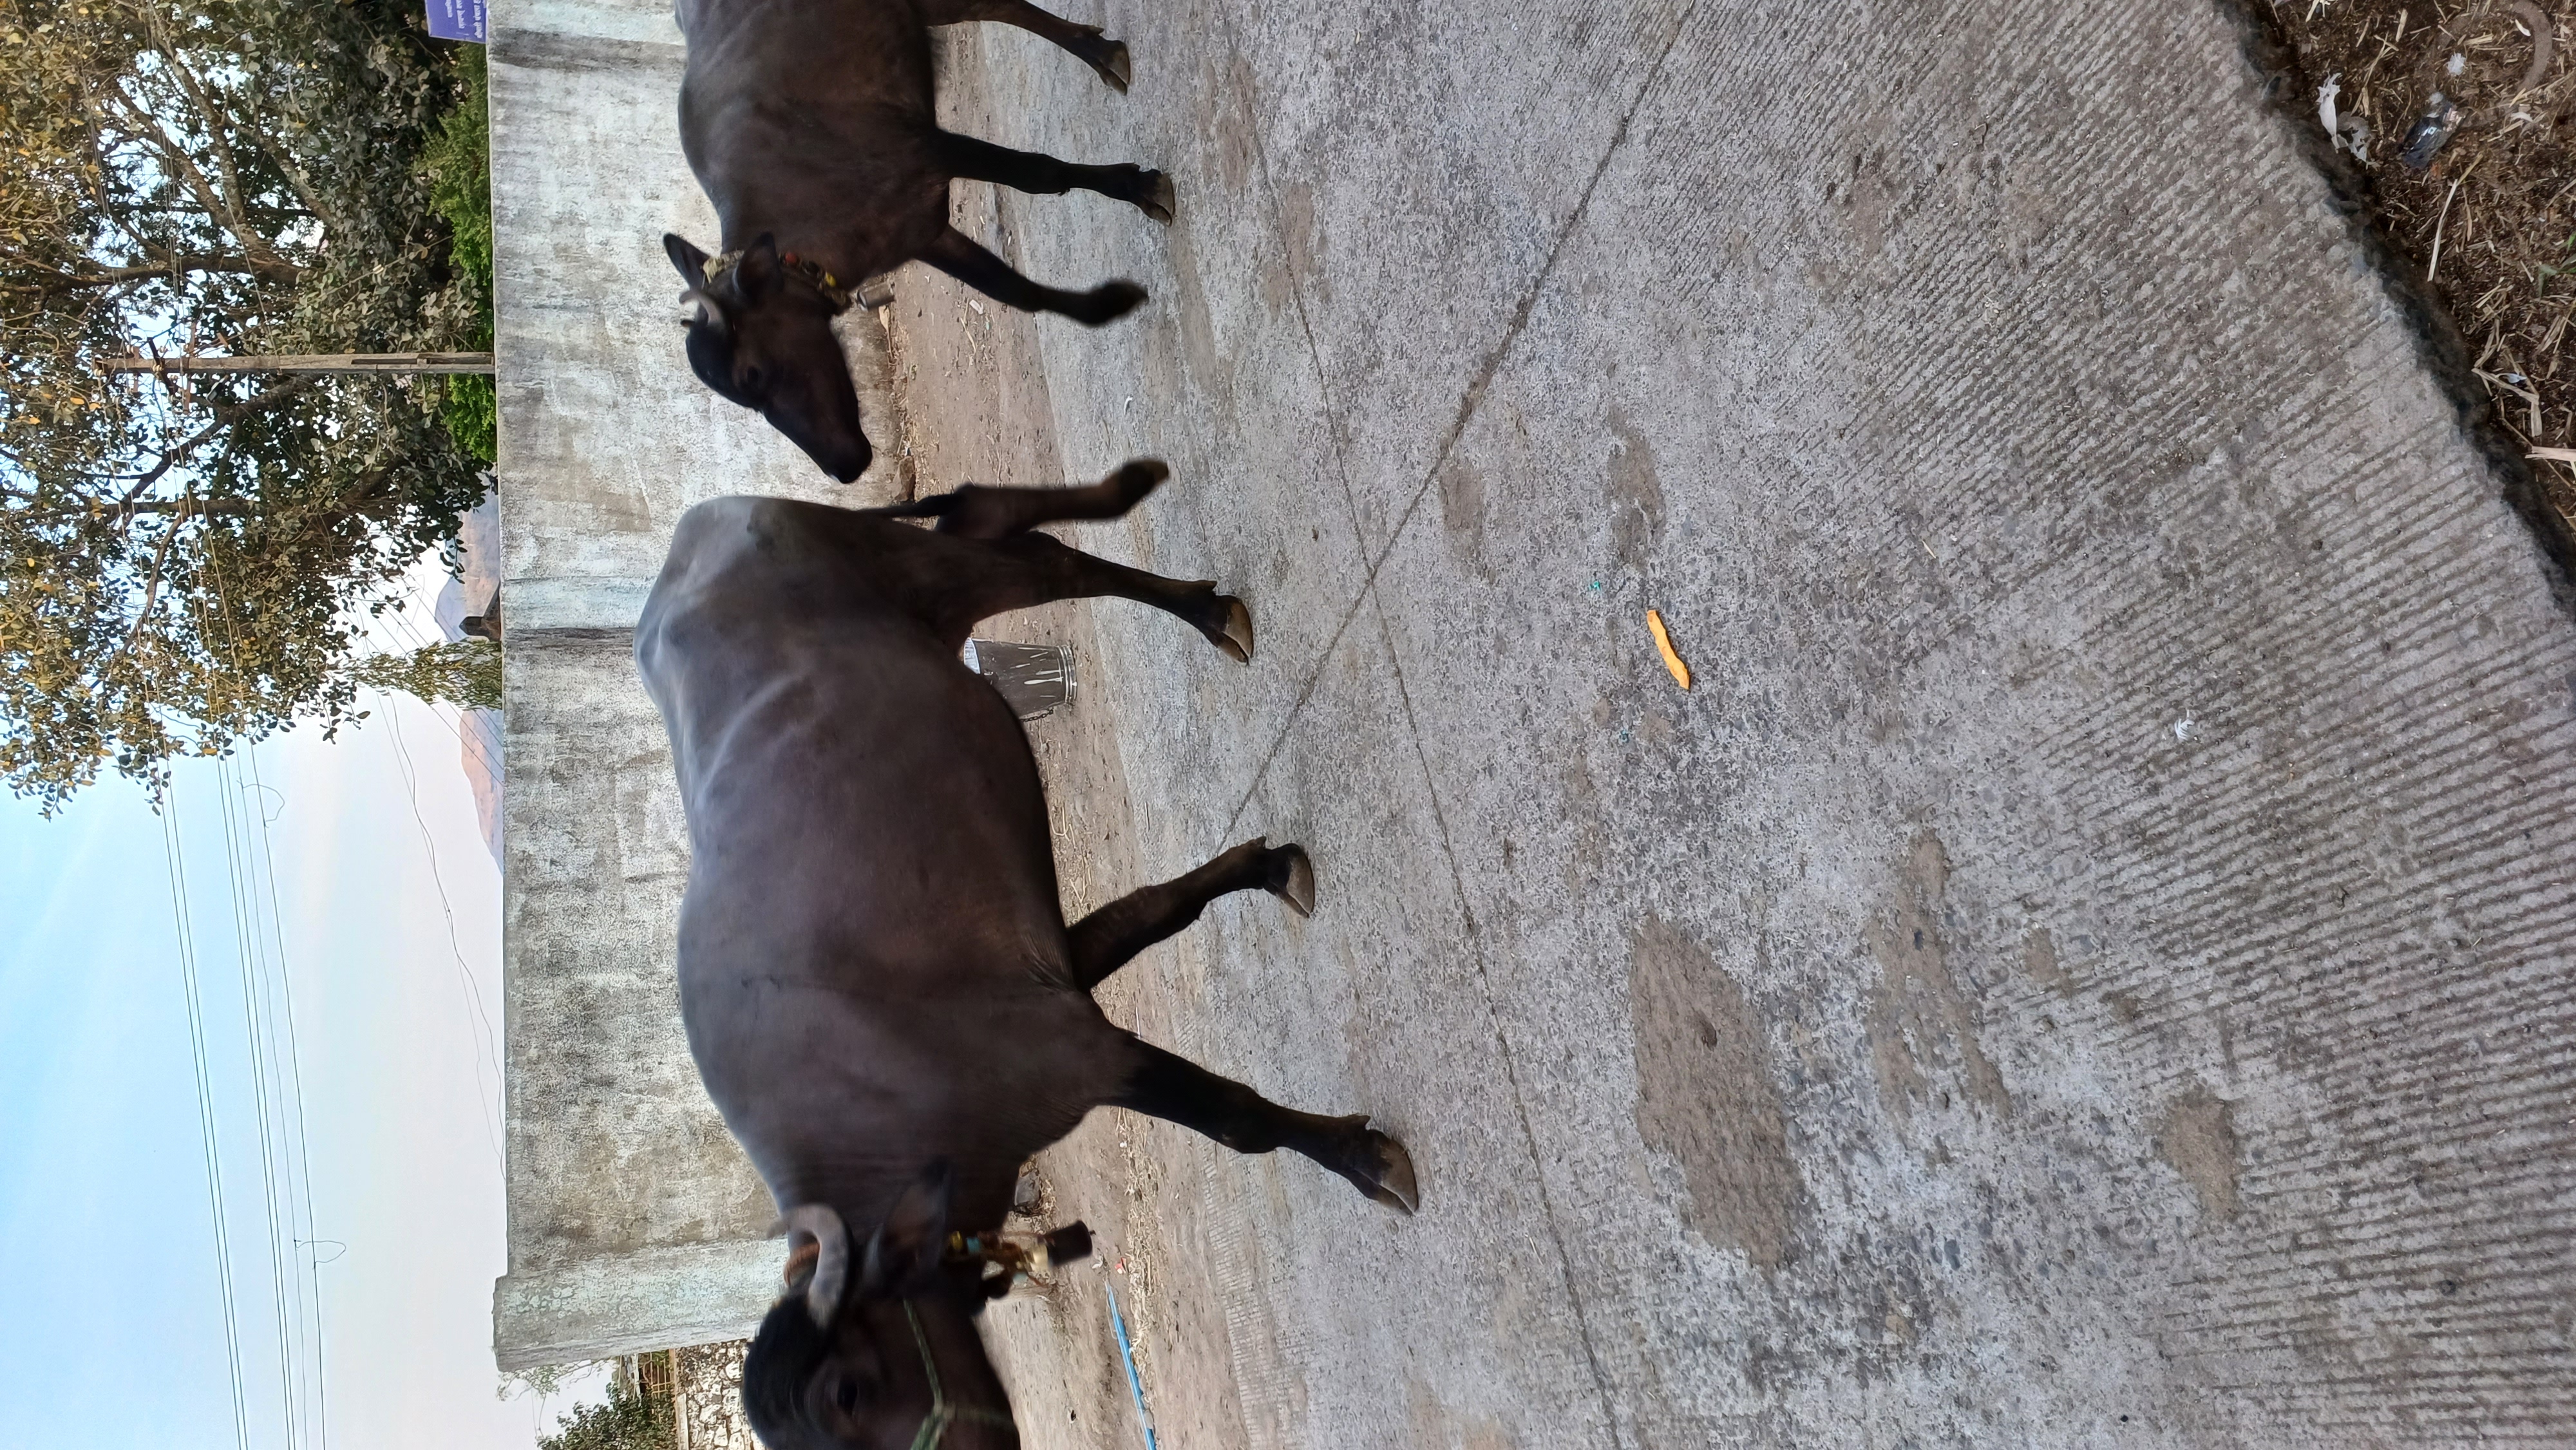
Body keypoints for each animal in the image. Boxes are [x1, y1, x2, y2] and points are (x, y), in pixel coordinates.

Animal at [635, 465, 1417, 1448]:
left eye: (846, 1392)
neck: (878, 1121)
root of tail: (704, 528)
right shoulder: (1060, 976)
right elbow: (1160, 909)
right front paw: (1265, 865)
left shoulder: (1085, 1056)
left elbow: (1239, 1121)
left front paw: (1360, 1159)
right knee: (1013, 539)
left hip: (937, 574)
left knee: (1033, 551)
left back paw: (1164, 550)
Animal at [666, 0, 1175, 481]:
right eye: (742, 400)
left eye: (751, 373)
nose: (842, 469)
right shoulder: (921, 233)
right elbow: (1016, 292)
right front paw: (1108, 304)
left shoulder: (933, 150)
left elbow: (1041, 174)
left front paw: (1141, 188)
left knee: (998, 7)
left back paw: (1099, 54)